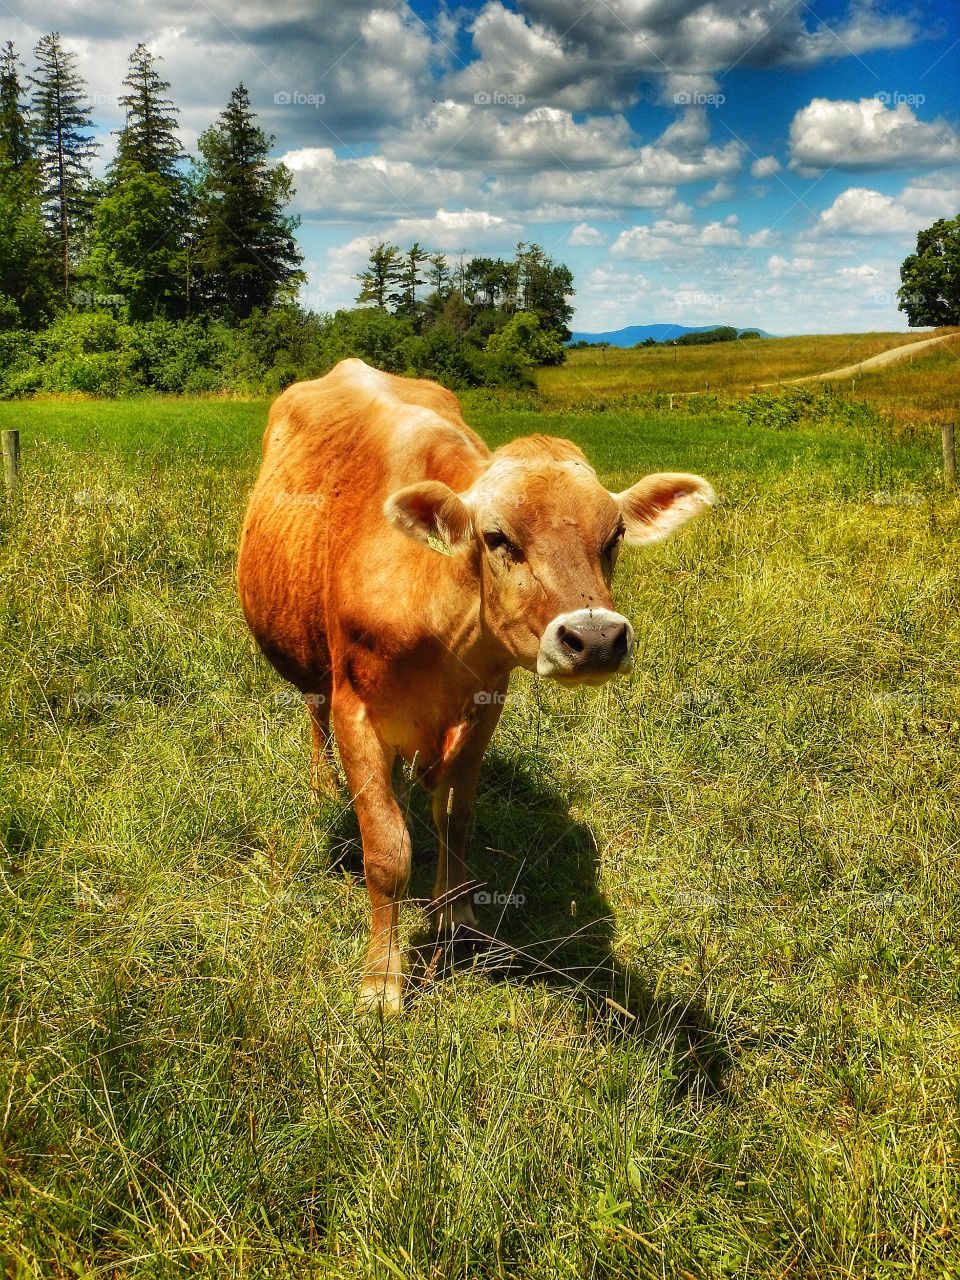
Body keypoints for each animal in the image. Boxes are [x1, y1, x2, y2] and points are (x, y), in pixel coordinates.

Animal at [237, 358, 714, 1014]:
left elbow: (455, 815)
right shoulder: (355, 709)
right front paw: (381, 983)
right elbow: (386, 850)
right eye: (497, 537)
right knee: (314, 715)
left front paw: (456, 916)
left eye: (614, 535)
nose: (595, 637)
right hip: (308, 661)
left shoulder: (485, 705)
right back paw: (323, 786)